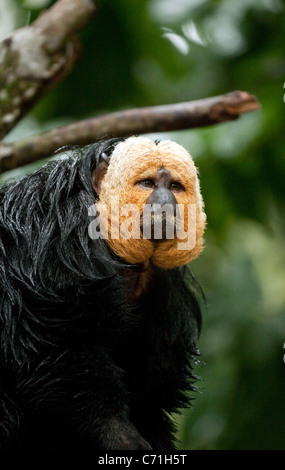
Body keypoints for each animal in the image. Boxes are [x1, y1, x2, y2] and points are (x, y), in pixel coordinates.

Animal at [0, 137, 205, 452]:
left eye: (174, 187)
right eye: (147, 183)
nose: (166, 203)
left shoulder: (163, 283)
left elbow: (150, 388)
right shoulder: (61, 242)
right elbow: (60, 346)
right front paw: (117, 434)